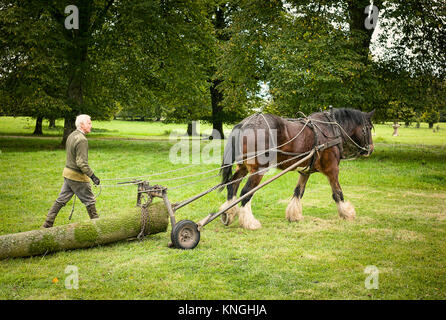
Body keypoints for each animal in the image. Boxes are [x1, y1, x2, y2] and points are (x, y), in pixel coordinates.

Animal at [218, 109, 374, 229]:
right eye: (369, 127)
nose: (370, 149)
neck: (330, 129)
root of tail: (244, 124)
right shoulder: (332, 169)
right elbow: (337, 193)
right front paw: (347, 213)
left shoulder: (305, 171)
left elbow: (299, 191)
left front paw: (294, 215)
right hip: (258, 170)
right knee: (246, 192)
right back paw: (249, 222)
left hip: (242, 167)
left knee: (232, 186)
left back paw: (228, 213)